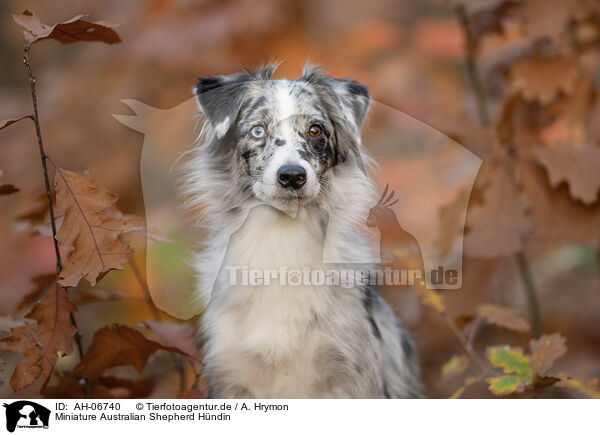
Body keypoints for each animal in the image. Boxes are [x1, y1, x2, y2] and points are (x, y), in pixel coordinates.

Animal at [180, 63, 424, 400]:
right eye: (258, 130)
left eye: (315, 130)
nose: (292, 176)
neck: (282, 240)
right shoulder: (230, 376)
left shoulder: (352, 375)